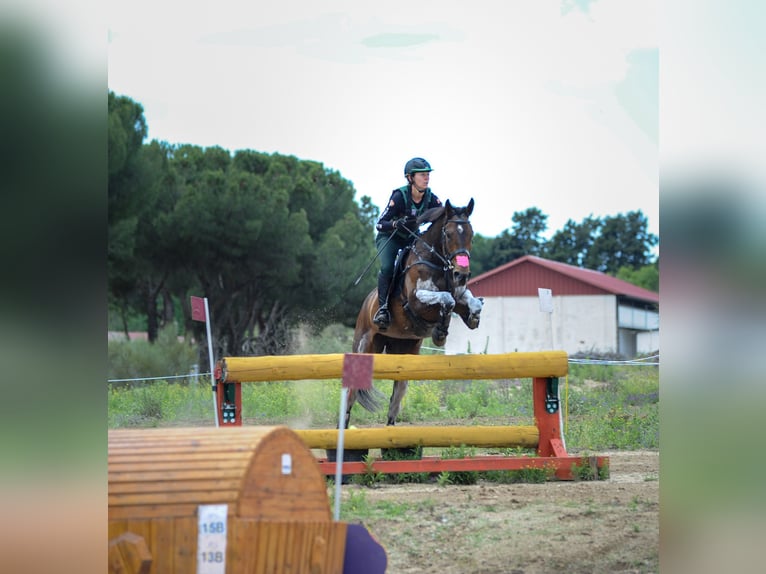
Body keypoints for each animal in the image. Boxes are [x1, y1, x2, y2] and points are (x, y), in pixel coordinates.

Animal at [344, 200, 484, 430]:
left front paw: (472, 318)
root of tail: (366, 304)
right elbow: (447, 299)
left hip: (404, 351)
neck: (437, 263)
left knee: (396, 398)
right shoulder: (417, 302)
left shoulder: (460, 293)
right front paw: (440, 332)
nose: (462, 274)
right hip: (365, 343)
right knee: (350, 396)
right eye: (448, 234)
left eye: (471, 235)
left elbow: (468, 301)